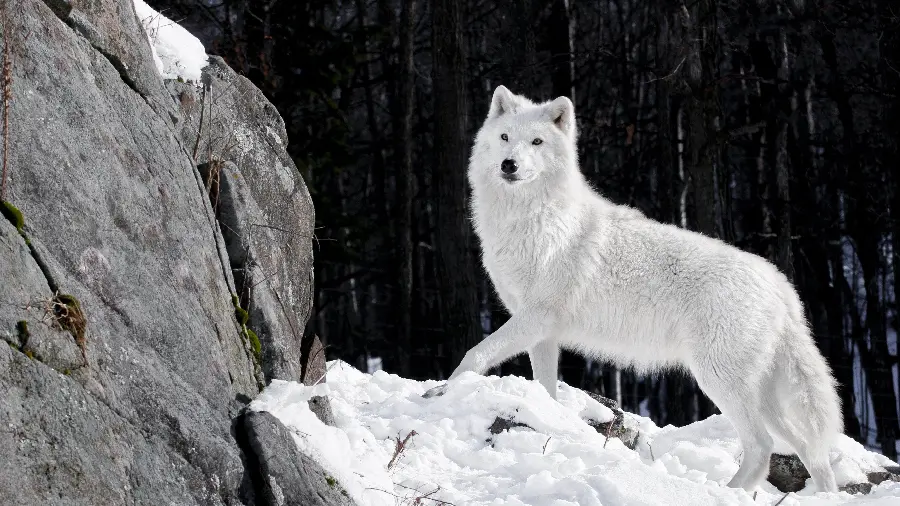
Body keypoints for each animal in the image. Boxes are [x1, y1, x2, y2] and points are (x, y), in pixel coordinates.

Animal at [450, 85, 844, 492]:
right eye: (505, 137)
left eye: (537, 142)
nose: (509, 165)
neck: (532, 220)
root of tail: (780, 284)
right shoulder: (542, 333)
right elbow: (546, 389)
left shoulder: (536, 317)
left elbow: (474, 355)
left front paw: (445, 393)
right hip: (761, 397)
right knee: (810, 450)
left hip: (718, 380)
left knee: (762, 446)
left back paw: (725, 492)